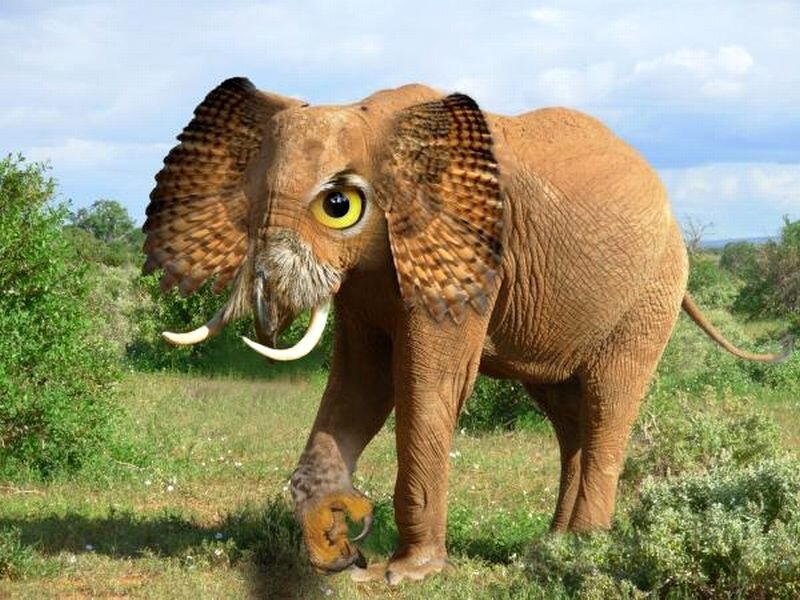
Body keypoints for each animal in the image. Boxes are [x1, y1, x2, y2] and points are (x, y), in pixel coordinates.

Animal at [141, 77, 791, 584]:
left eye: (338, 206)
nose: (263, 327)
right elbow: (357, 386)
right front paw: (328, 549)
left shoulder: (470, 255)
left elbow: (427, 385)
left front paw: (406, 574)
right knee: (568, 415)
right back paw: (550, 548)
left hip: (646, 297)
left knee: (609, 401)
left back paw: (583, 553)